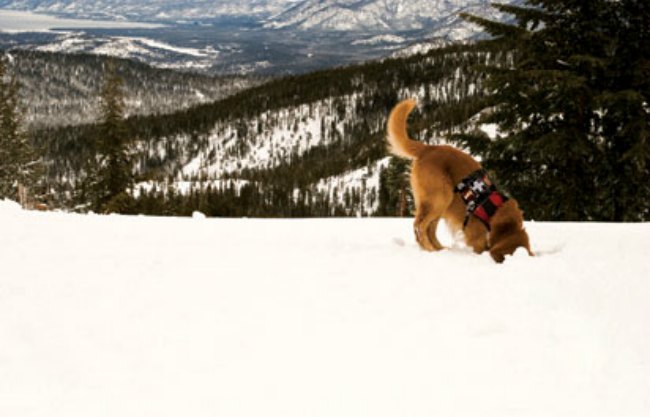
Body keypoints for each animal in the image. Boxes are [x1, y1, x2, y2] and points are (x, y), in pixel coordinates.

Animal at [384, 98, 532, 262]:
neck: (494, 211)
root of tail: (428, 148)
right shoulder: (476, 234)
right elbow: (480, 245)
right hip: (441, 196)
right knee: (420, 226)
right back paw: (430, 250)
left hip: (441, 204)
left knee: (429, 229)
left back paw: (439, 249)